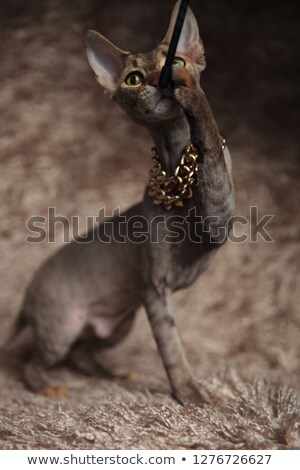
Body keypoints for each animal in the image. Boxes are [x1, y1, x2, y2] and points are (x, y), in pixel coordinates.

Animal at [14, 0, 234, 404]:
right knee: (35, 362)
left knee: (82, 352)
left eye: (176, 60)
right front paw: (190, 395)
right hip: (63, 327)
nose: (162, 79)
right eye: (133, 78)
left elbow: (211, 151)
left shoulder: (217, 221)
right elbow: (172, 347)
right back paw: (49, 387)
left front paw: (192, 92)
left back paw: (114, 374)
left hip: (118, 324)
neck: (176, 168)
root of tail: (28, 295)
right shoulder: (155, 288)